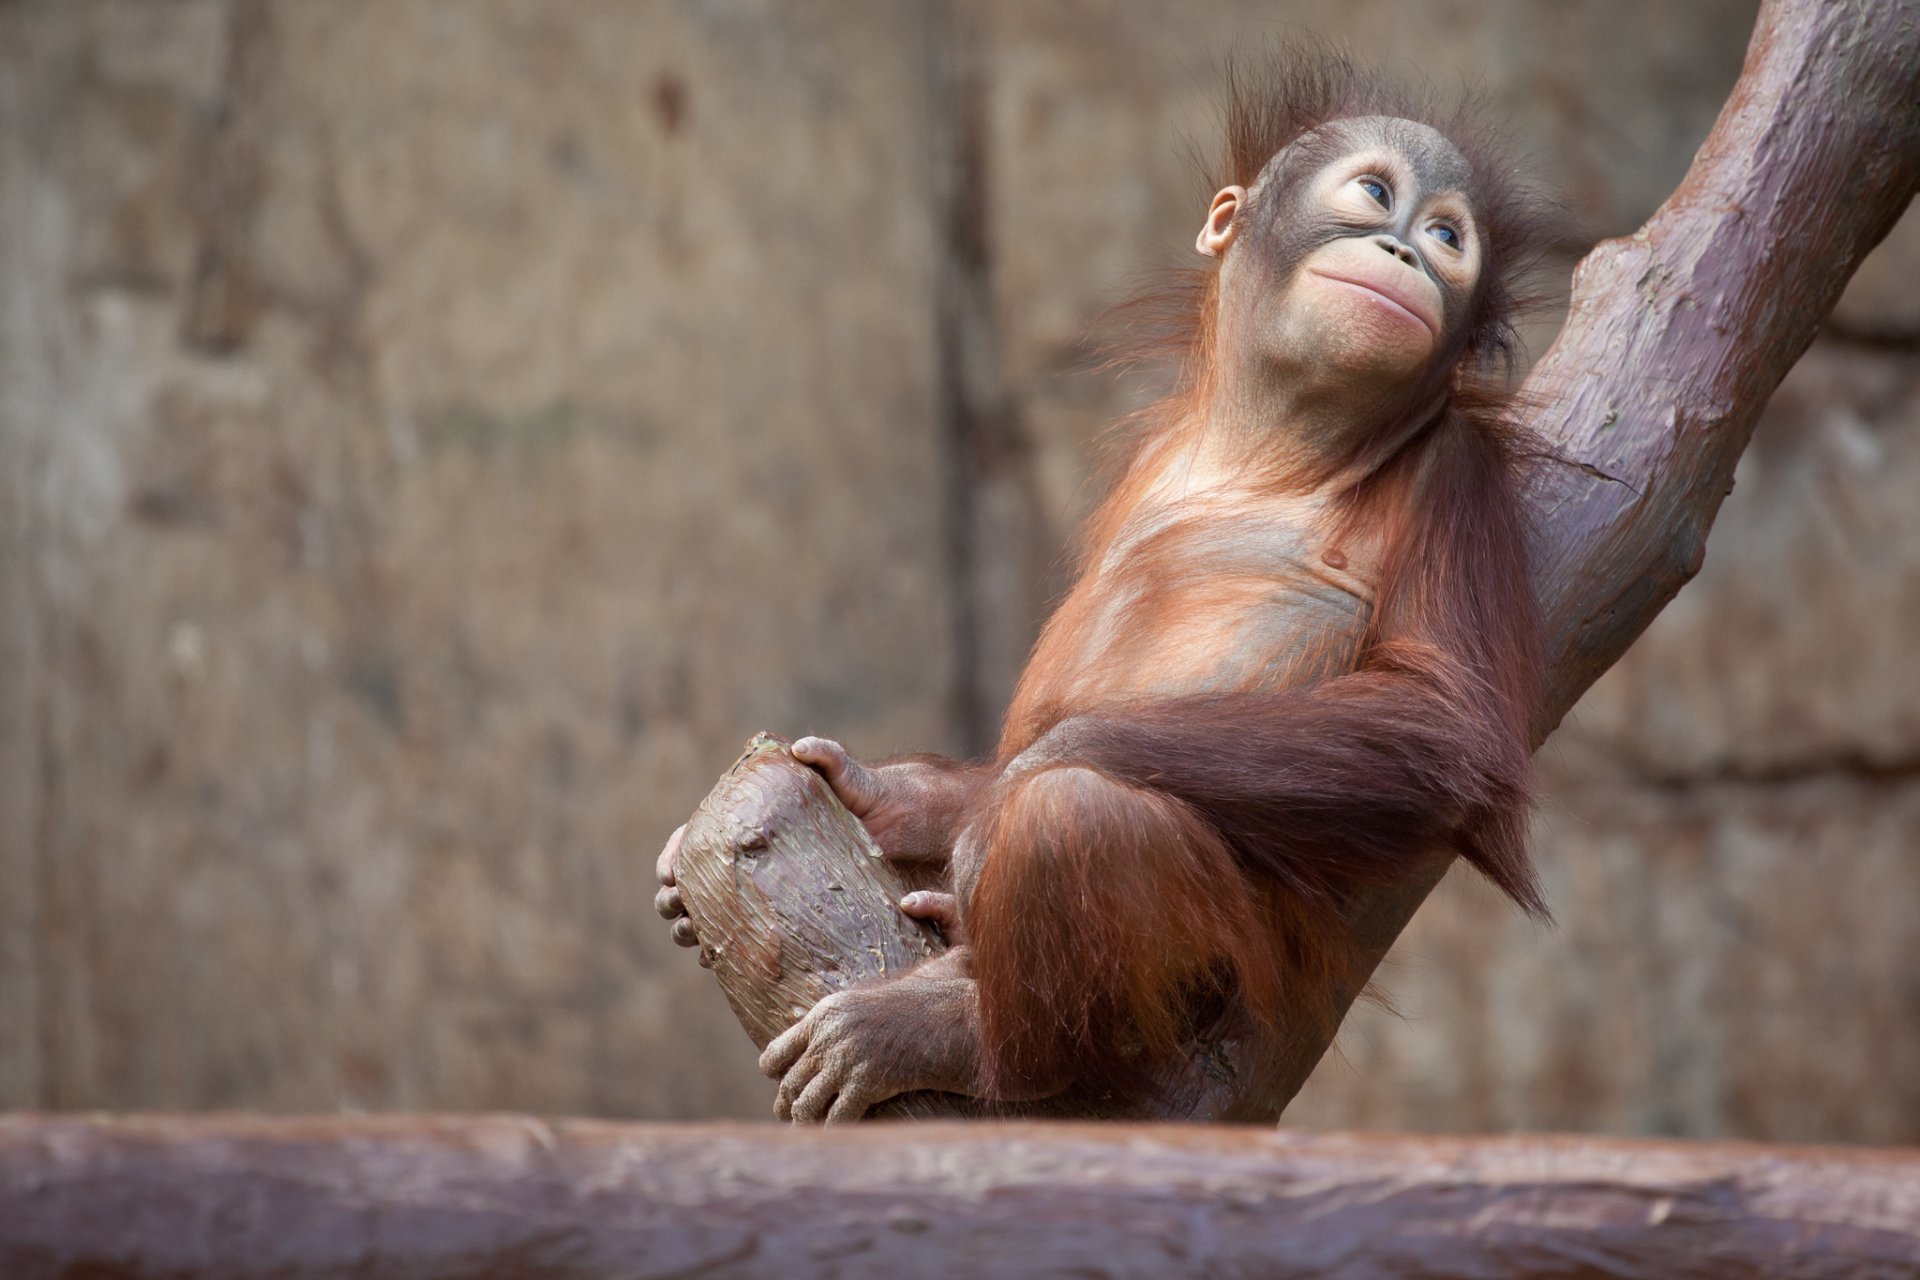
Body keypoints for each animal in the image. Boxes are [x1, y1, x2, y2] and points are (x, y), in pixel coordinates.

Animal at [657, 51, 1555, 1123]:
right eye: (1377, 196)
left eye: (1449, 237)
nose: (1404, 251)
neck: (1271, 445)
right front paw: (884, 795)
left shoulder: (1458, 477)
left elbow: (1442, 717)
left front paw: (990, 814)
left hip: (1231, 974)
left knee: (1073, 822)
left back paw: (956, 1031)